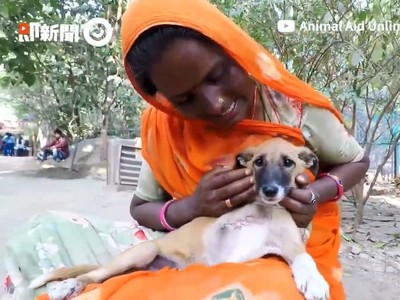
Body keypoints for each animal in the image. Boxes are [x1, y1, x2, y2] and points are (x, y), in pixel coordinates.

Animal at [30, 138, 332, 300]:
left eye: (288, 163)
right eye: (258, 162)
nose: (269, 190)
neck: (264, 211)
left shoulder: (290, 245)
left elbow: (305, 259)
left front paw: (314, 281)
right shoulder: (224, 223)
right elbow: (224, 221)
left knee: (103, 279)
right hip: (142, 252)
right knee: (92, 275)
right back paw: (68, 286)